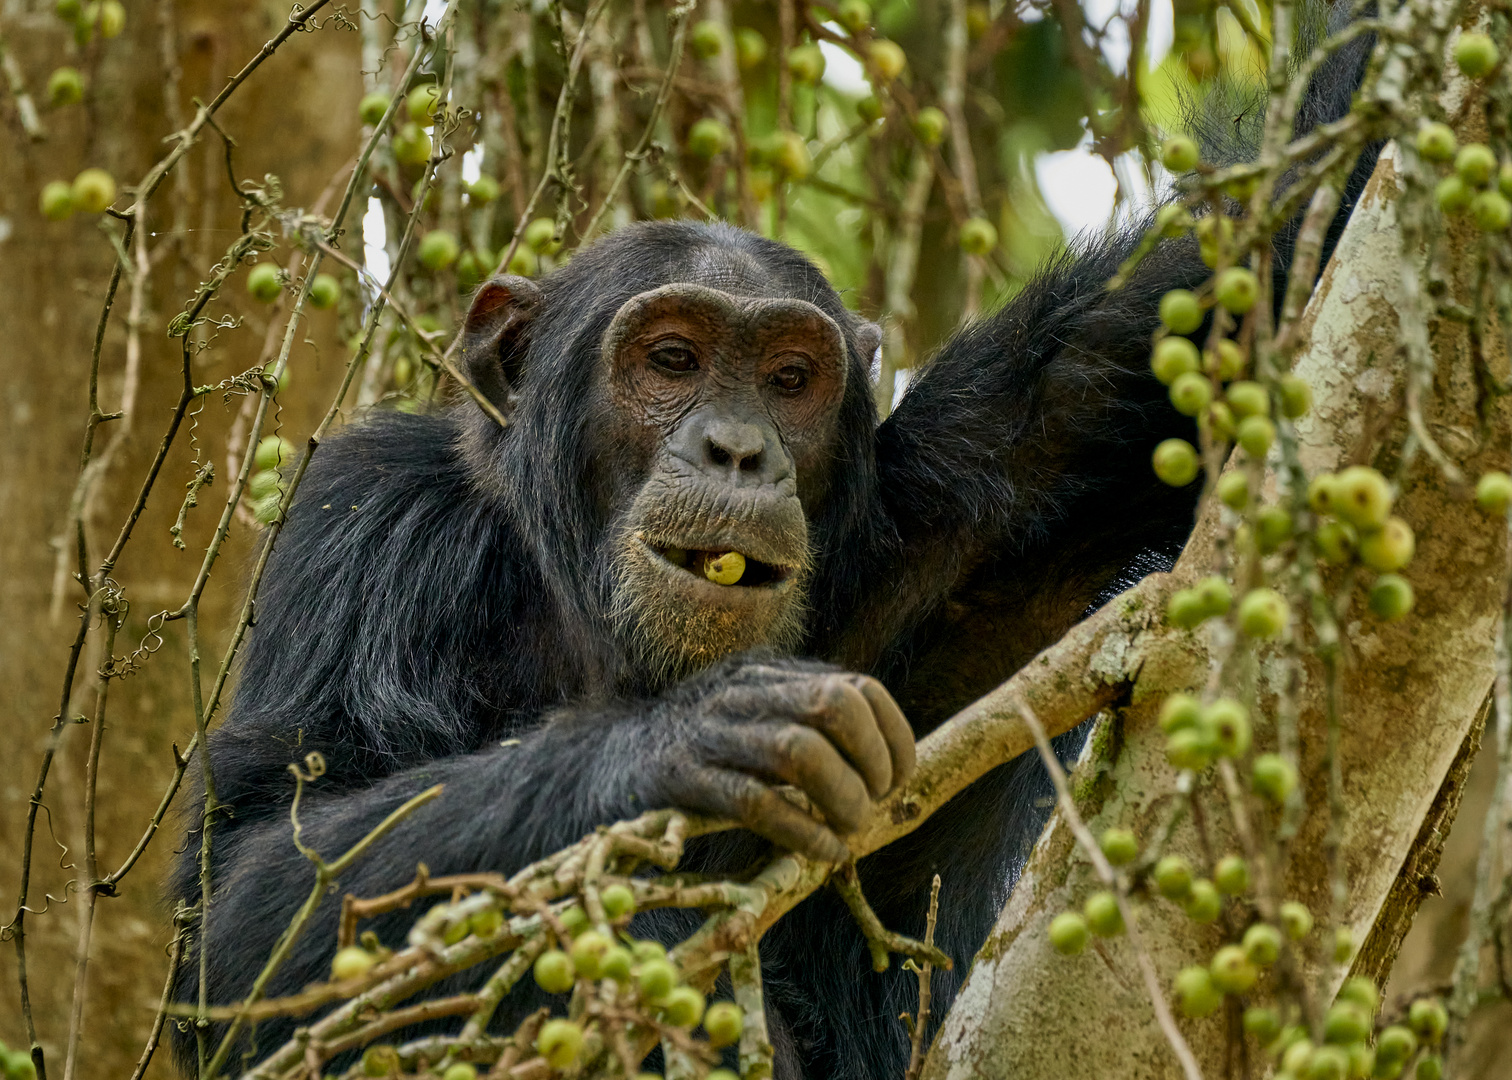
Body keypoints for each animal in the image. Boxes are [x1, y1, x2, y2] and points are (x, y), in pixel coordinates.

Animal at [171, 25, 1378, 1076]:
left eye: (791, 378)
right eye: (671, 358)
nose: (739, 447)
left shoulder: (998, 471)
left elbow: (1253, 268)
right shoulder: (364, 526)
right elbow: (244, 909)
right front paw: (695, 739)